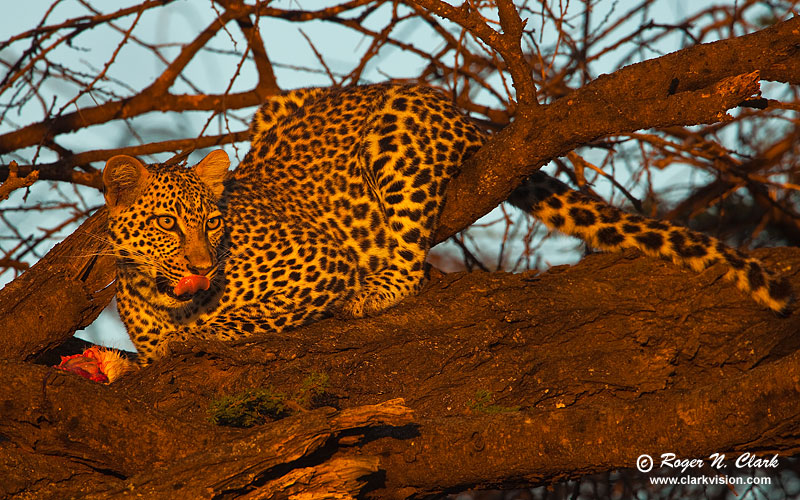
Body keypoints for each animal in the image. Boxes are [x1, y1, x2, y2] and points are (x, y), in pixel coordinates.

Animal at [103, 84, 792, 366]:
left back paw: (375, 292)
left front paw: (203, 332)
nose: (202, 265)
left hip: (397, 143)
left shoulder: (320, 262)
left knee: (407, 265)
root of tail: (462, 114)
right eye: (167, 224)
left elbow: (242, 317)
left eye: (212, 222)